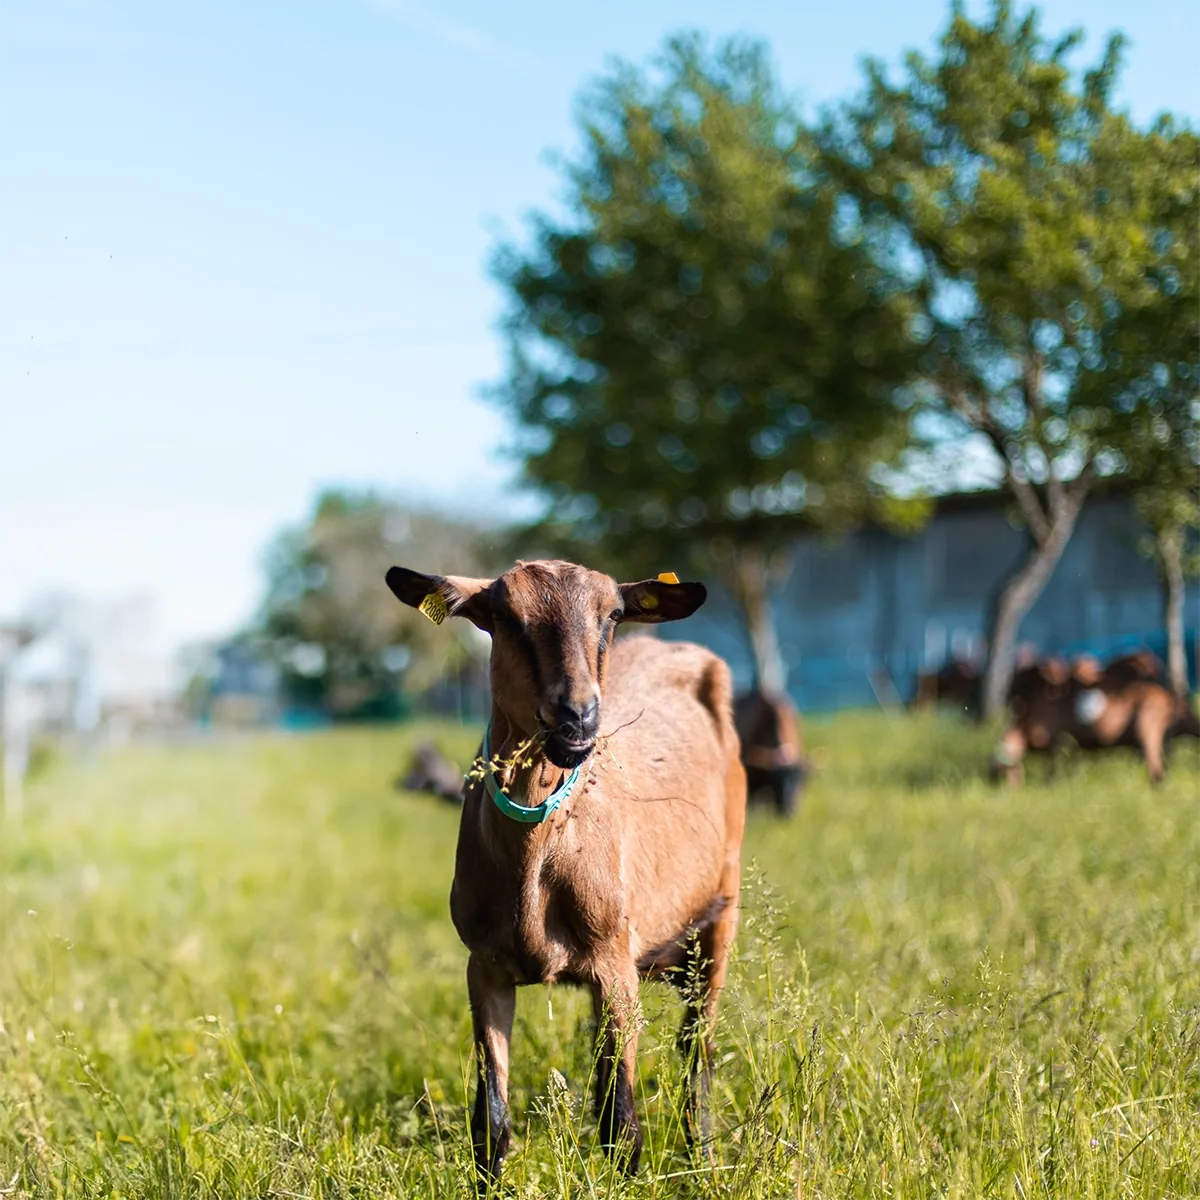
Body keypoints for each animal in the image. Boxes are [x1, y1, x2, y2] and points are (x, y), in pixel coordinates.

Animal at [385, 559, 747, 1184]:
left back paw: (700, 1155)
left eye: (614, 615)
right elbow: (491, 1124)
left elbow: (620, 1125)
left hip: (721, 911)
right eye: (503, 616)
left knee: (696, 1046)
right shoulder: (484, 966)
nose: (578, 715)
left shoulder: (614, 962)